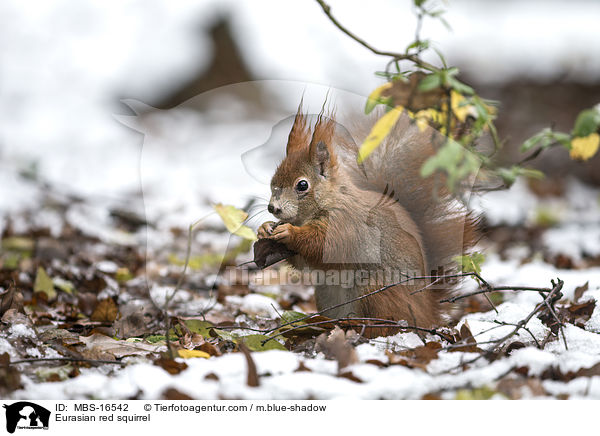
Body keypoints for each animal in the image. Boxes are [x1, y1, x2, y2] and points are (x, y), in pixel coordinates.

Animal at [258, 103, 478, 338]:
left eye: (302, 185)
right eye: (273, 181)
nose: (272, 208)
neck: (331, 201)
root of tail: (427, 315)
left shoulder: (347, 224)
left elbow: (324, 245)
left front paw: (289, 232)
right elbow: (304, 261)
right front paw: (263, 228)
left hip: (375, 291)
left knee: (384, 325)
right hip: (326, 294)